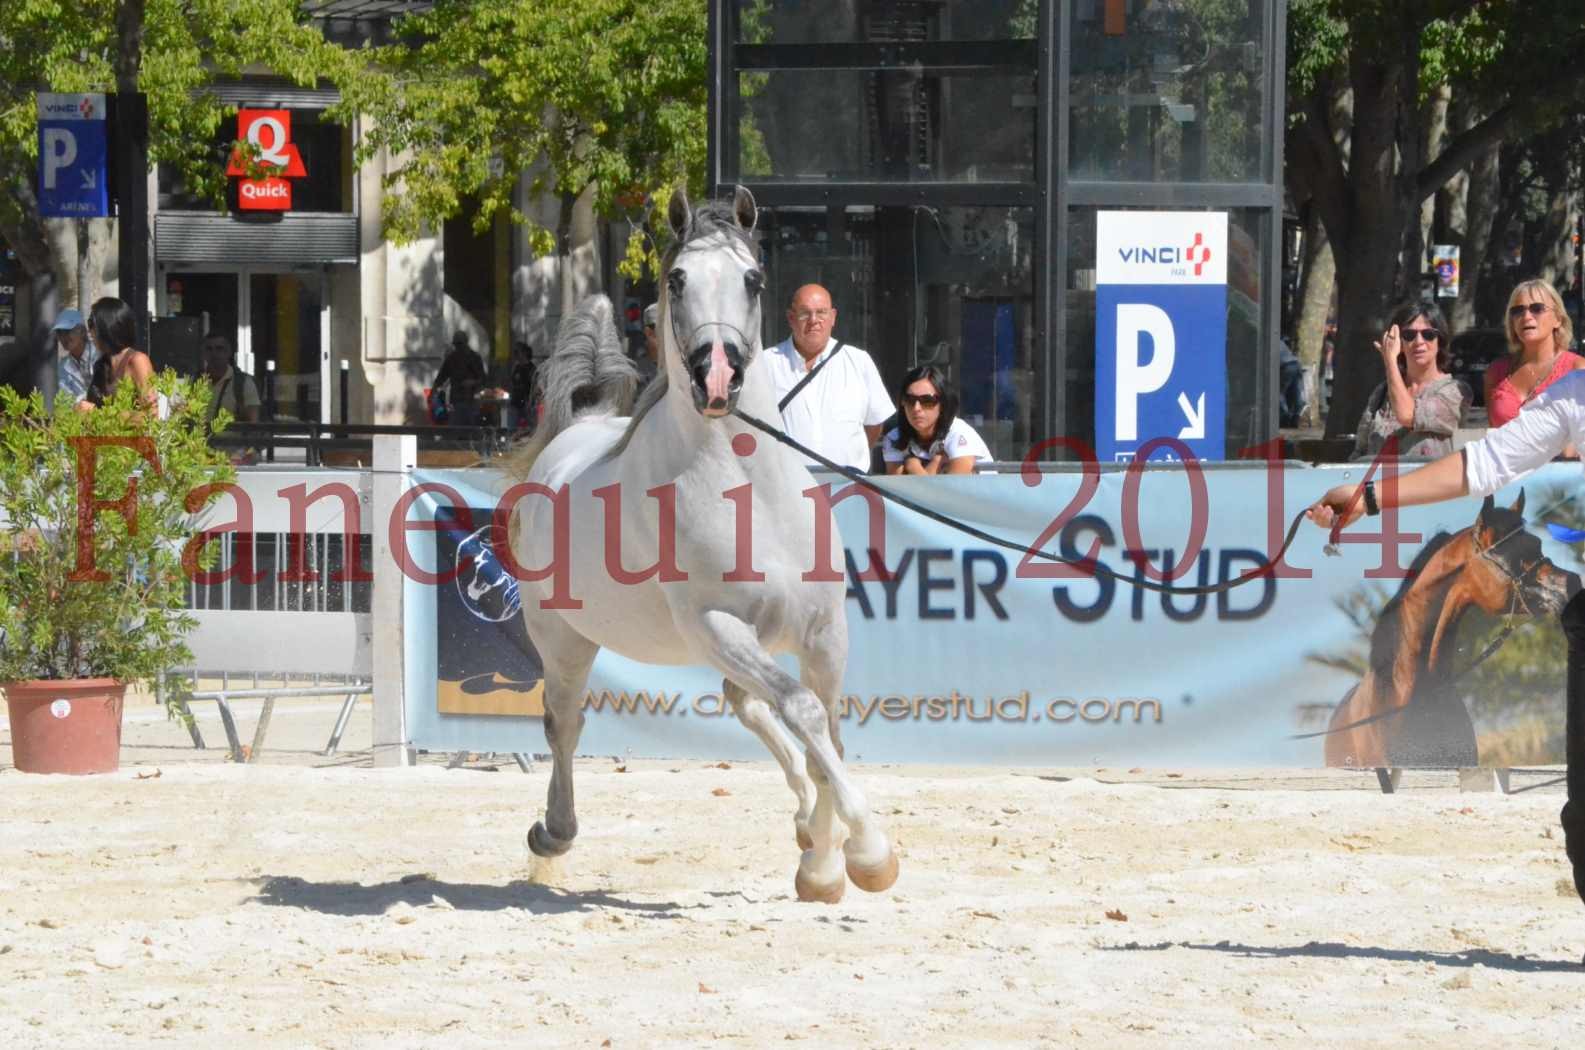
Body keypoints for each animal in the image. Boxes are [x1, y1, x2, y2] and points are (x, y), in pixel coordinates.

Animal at [510, 184, 906, 900]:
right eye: (677, 279)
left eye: (752, 280)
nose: (716, 377)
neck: (750, 492)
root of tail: (573, 434)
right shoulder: (718, 625)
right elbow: (805, 713)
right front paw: (866, 854)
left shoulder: (824, 630)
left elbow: (826, 735)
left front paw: (823, 865)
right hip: (565, 640)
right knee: (566, 723)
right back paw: (553, 833)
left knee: (746, 705)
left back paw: (804, 822)